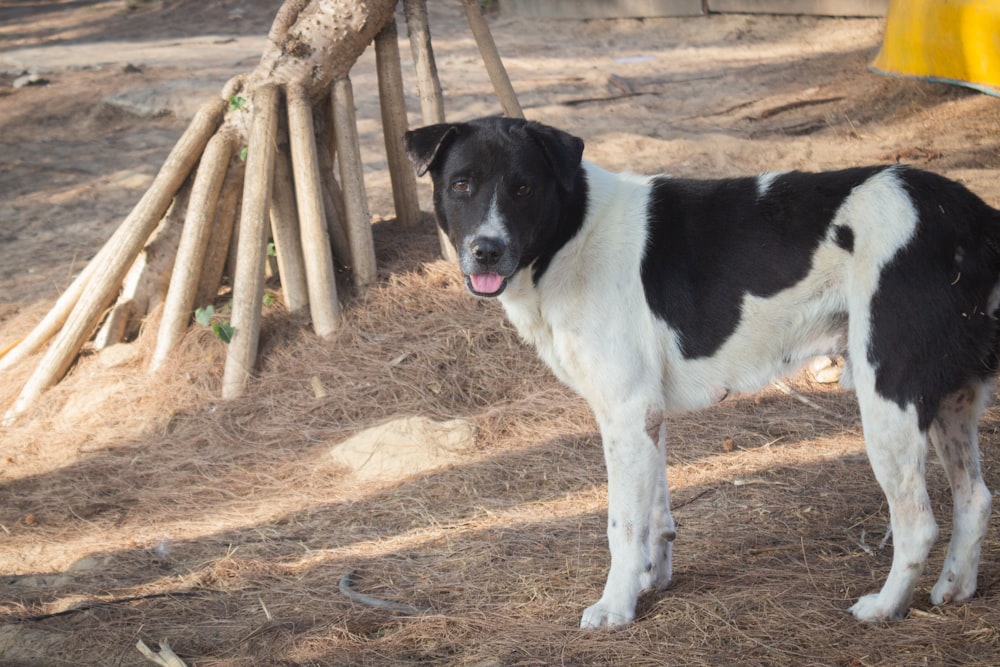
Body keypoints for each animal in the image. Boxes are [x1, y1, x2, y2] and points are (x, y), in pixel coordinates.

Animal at [402, 117, 996, 628]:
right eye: (461, 185)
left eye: (523, 188)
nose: (486, 251)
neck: (572, 236)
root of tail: (972, 213)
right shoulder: (646, 416)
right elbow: (656, 517)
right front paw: (650, 582)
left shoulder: (625, 413)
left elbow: (623, 525)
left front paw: (615, 607)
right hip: (950, 400)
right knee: (975, 499)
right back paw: (954, 589)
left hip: (888, 396)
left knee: (917, 523)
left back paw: (886, 606)